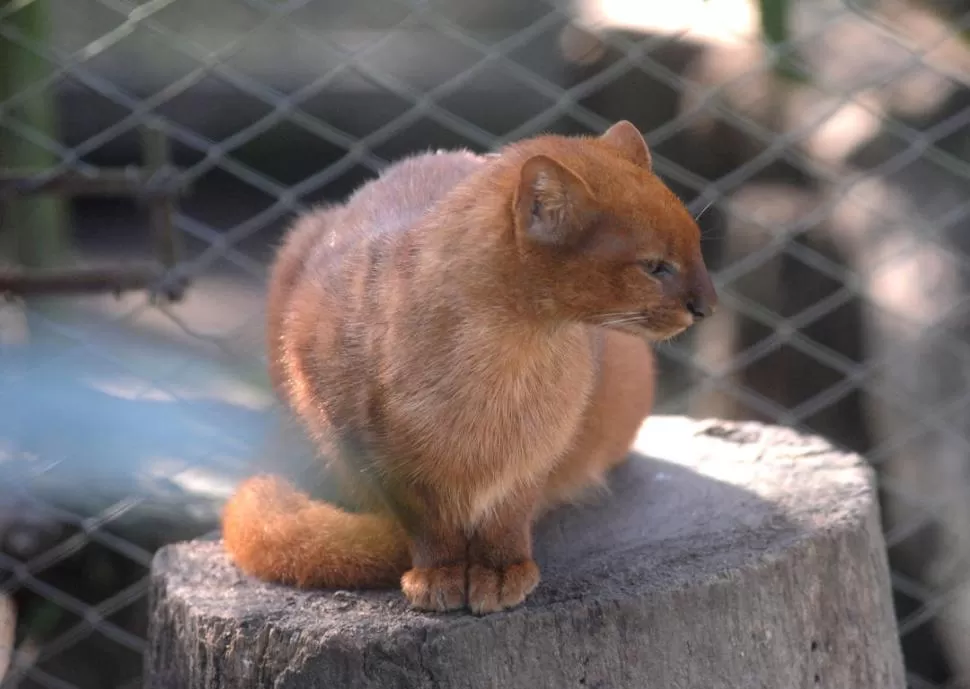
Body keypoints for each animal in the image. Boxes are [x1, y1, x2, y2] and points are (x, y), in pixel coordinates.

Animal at [223, 119, 716, 612]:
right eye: (655, 266)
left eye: (697, 248)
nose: (707, 306)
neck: (500, 372)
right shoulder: (373, 453)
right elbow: (426, 525)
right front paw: (438, 577)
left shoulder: (535, 454)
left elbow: (508, 516)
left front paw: (499, 575)